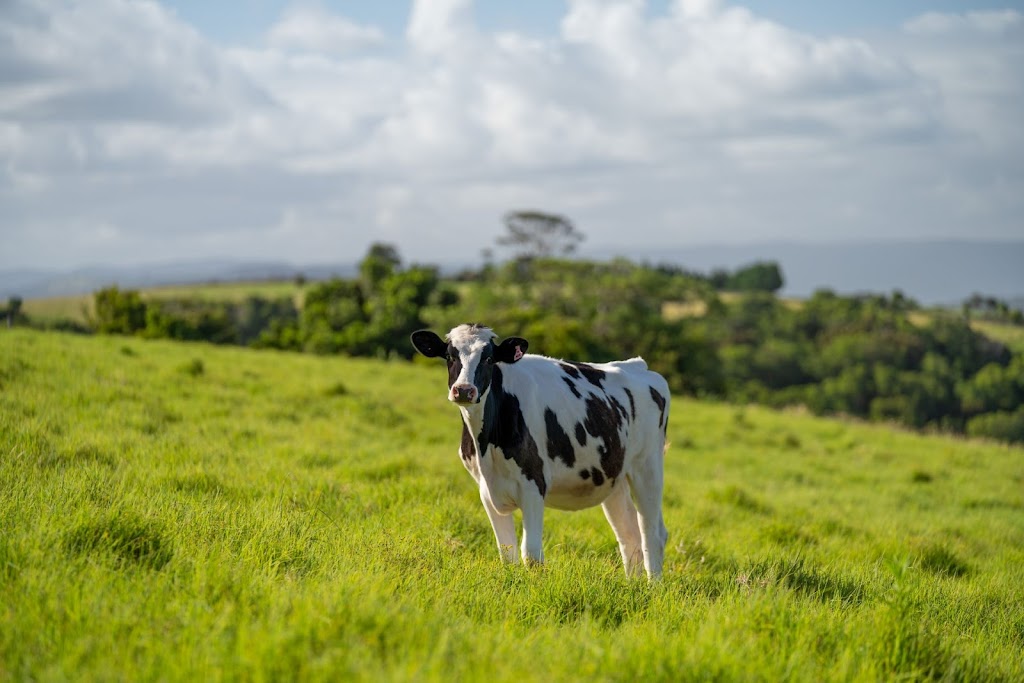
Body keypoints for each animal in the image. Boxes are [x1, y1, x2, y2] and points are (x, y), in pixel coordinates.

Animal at [409, 325, 671, 577]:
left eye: (489, 358)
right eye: (450, 356)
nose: (464, 390)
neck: (487, 445)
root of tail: (638, 365)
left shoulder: (533, 484)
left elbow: (532, 554)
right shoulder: (486, 490)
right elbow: (507, 554)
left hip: (647, 466)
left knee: (653, 533)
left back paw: (653, 586)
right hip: (614, 478)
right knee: (629, 535)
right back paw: (633, 585)